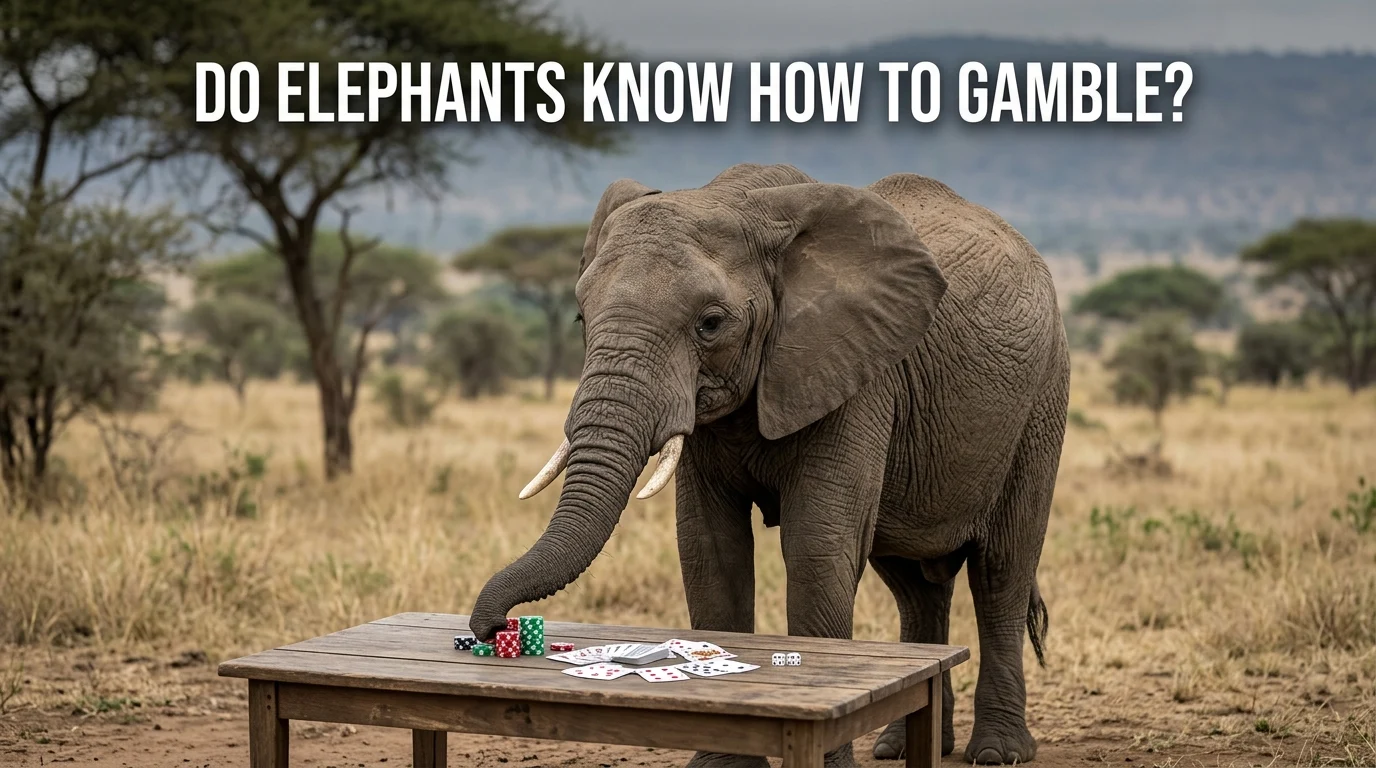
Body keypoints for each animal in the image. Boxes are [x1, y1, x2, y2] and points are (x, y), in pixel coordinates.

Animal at [469, 163, 1070, 766]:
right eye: (580, 316)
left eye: (711, 323)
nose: (496, 628)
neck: (744, 203)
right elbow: (709, 547)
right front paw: (720, 761)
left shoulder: (855, 375)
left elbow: (817, 543)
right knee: (912, 583)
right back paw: (899, 746)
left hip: (1042, 399)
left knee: (1001, 571)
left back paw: (997, 752)